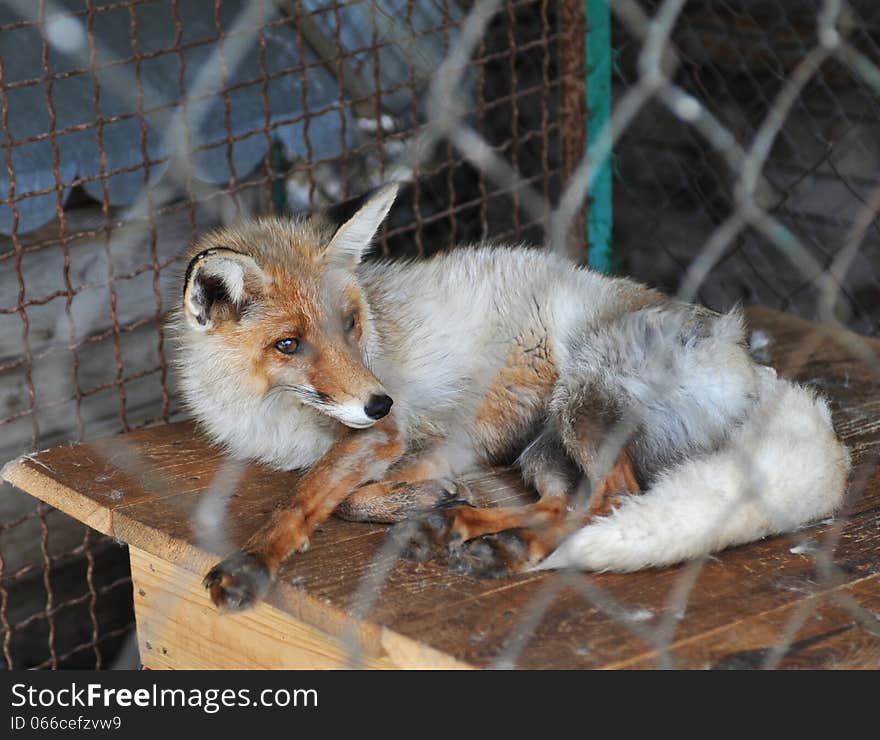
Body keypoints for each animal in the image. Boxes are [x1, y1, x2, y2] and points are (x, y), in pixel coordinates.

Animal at [172, 182, 852, 608]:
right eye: (289, 345)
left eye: (351, 326)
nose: (379, 401)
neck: (270, 413)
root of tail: (746, 355)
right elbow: (344, 494)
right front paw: (427, 501)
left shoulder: (395, 435)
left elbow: (318, 498)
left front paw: (255, 560)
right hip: (544, 446)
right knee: (570, 502)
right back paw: (480, 534)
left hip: (580, 404)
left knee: (615, 499)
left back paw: (489, 536)